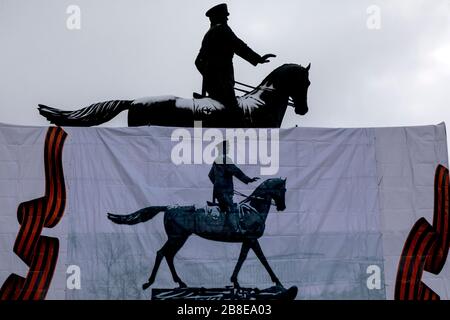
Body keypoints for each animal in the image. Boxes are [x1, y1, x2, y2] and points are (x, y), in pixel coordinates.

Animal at [107, 178, 286, 290]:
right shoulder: (251, 239)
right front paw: (278, 282)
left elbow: (243, 258)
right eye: (283, 189)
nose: (282, 207)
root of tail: (169, 207)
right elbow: (262, 259)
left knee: (168, 255)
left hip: (180, 238)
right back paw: (150, 283)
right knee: (162, 253)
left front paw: (235, 282)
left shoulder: (248, 241)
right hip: (177, 238)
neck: (253, 208)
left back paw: (180, 282)